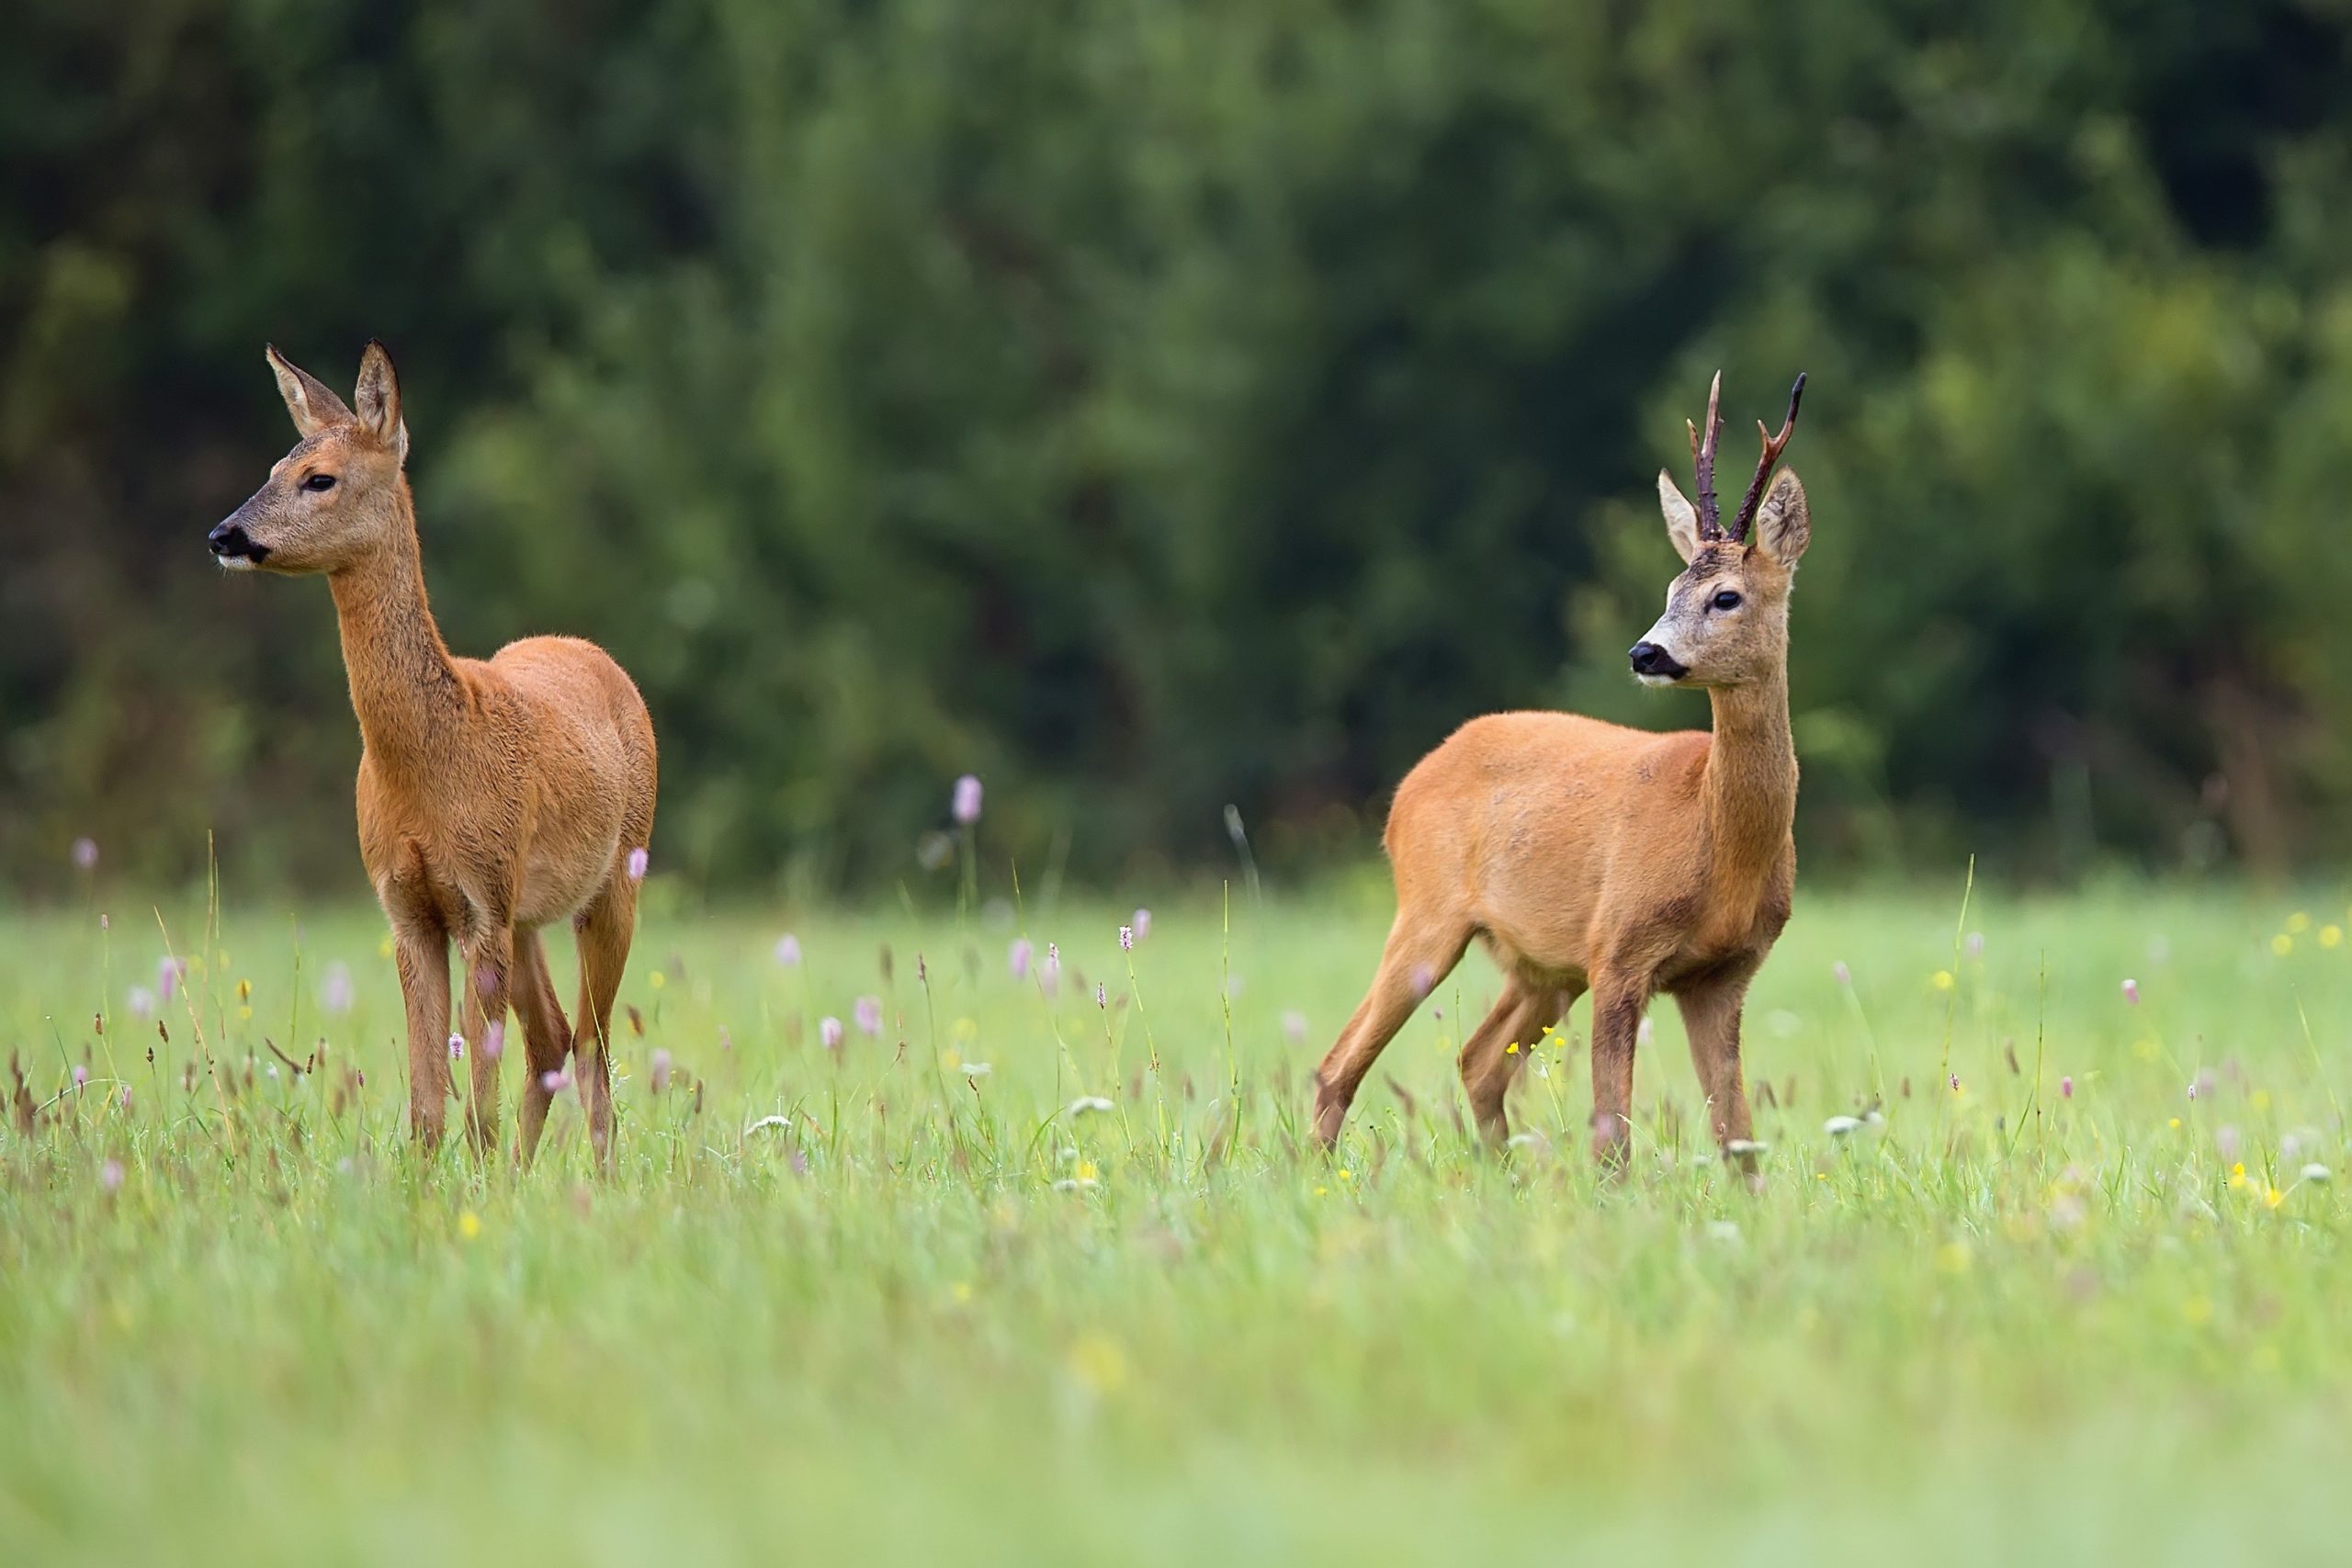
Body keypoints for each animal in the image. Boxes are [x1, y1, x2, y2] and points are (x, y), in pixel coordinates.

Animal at [208, 343, 658, 1166]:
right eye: (273, 465)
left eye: (319, 478)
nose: (224, 534)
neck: (429, 762)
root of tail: (591, 651)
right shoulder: (407, 905)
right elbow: (426, 1107)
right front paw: (433, 1185)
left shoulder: (481, 900)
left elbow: (475, 1101)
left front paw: (477, 1181)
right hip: (527, 913)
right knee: (551, 1038)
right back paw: (524, 1174)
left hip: (618, 877)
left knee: (593, 1047)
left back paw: (599, 1177)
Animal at [1317, 371, 1806, 1175]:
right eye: (1669, 590)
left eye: (1725, 595)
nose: (1646, 652)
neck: (1716, 838)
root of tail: (1408, 786)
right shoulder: (1619, 947)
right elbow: (1613, 1136)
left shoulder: (1723, 973)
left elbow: (1738, 1139)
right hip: (1427, 912)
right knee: (1339, 1063)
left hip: (1541, 966)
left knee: (1478, 1060)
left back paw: (1500, 1177)